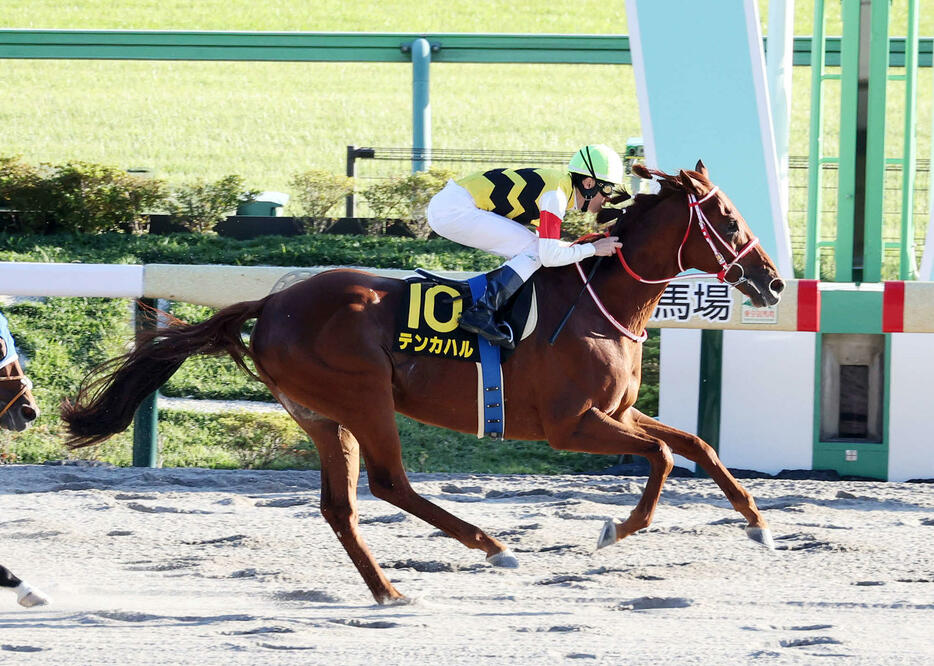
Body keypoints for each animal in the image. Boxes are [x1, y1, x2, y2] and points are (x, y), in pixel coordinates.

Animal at [62, 161, 788, 600]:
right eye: (727, 220)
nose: (775, 282)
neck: (598, 301)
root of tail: (269, 305)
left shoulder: (613, 413)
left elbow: (695, 444)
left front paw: (758, 524)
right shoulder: (571, 424)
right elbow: (664, 454)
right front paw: (616, 529)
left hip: (320, 414)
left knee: (342, 506)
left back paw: (388, 590)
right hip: (364, 398)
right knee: (390, 484)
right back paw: (492, 548)